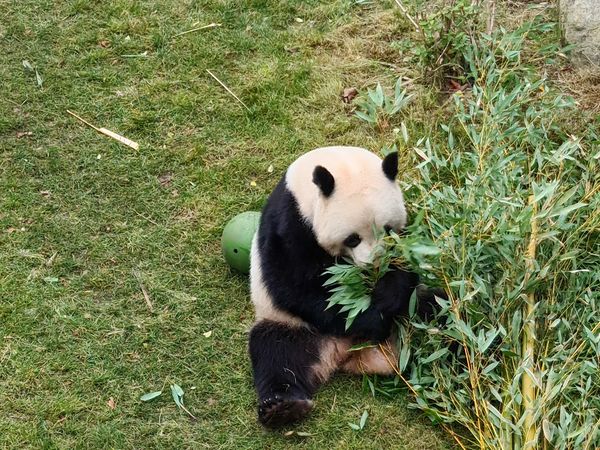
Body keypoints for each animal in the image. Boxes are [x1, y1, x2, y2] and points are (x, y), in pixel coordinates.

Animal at [248, 147, 426, 428]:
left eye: (387, 229)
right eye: (352, 239)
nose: (373, 264)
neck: (341, 164)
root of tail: (346, 354)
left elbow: (406, 266)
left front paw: (384, 294)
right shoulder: (290, 221)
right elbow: (295, 285)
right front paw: (369, 320)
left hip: (413, 315)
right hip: (291, 324)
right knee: (275, 352)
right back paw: (283, 407)